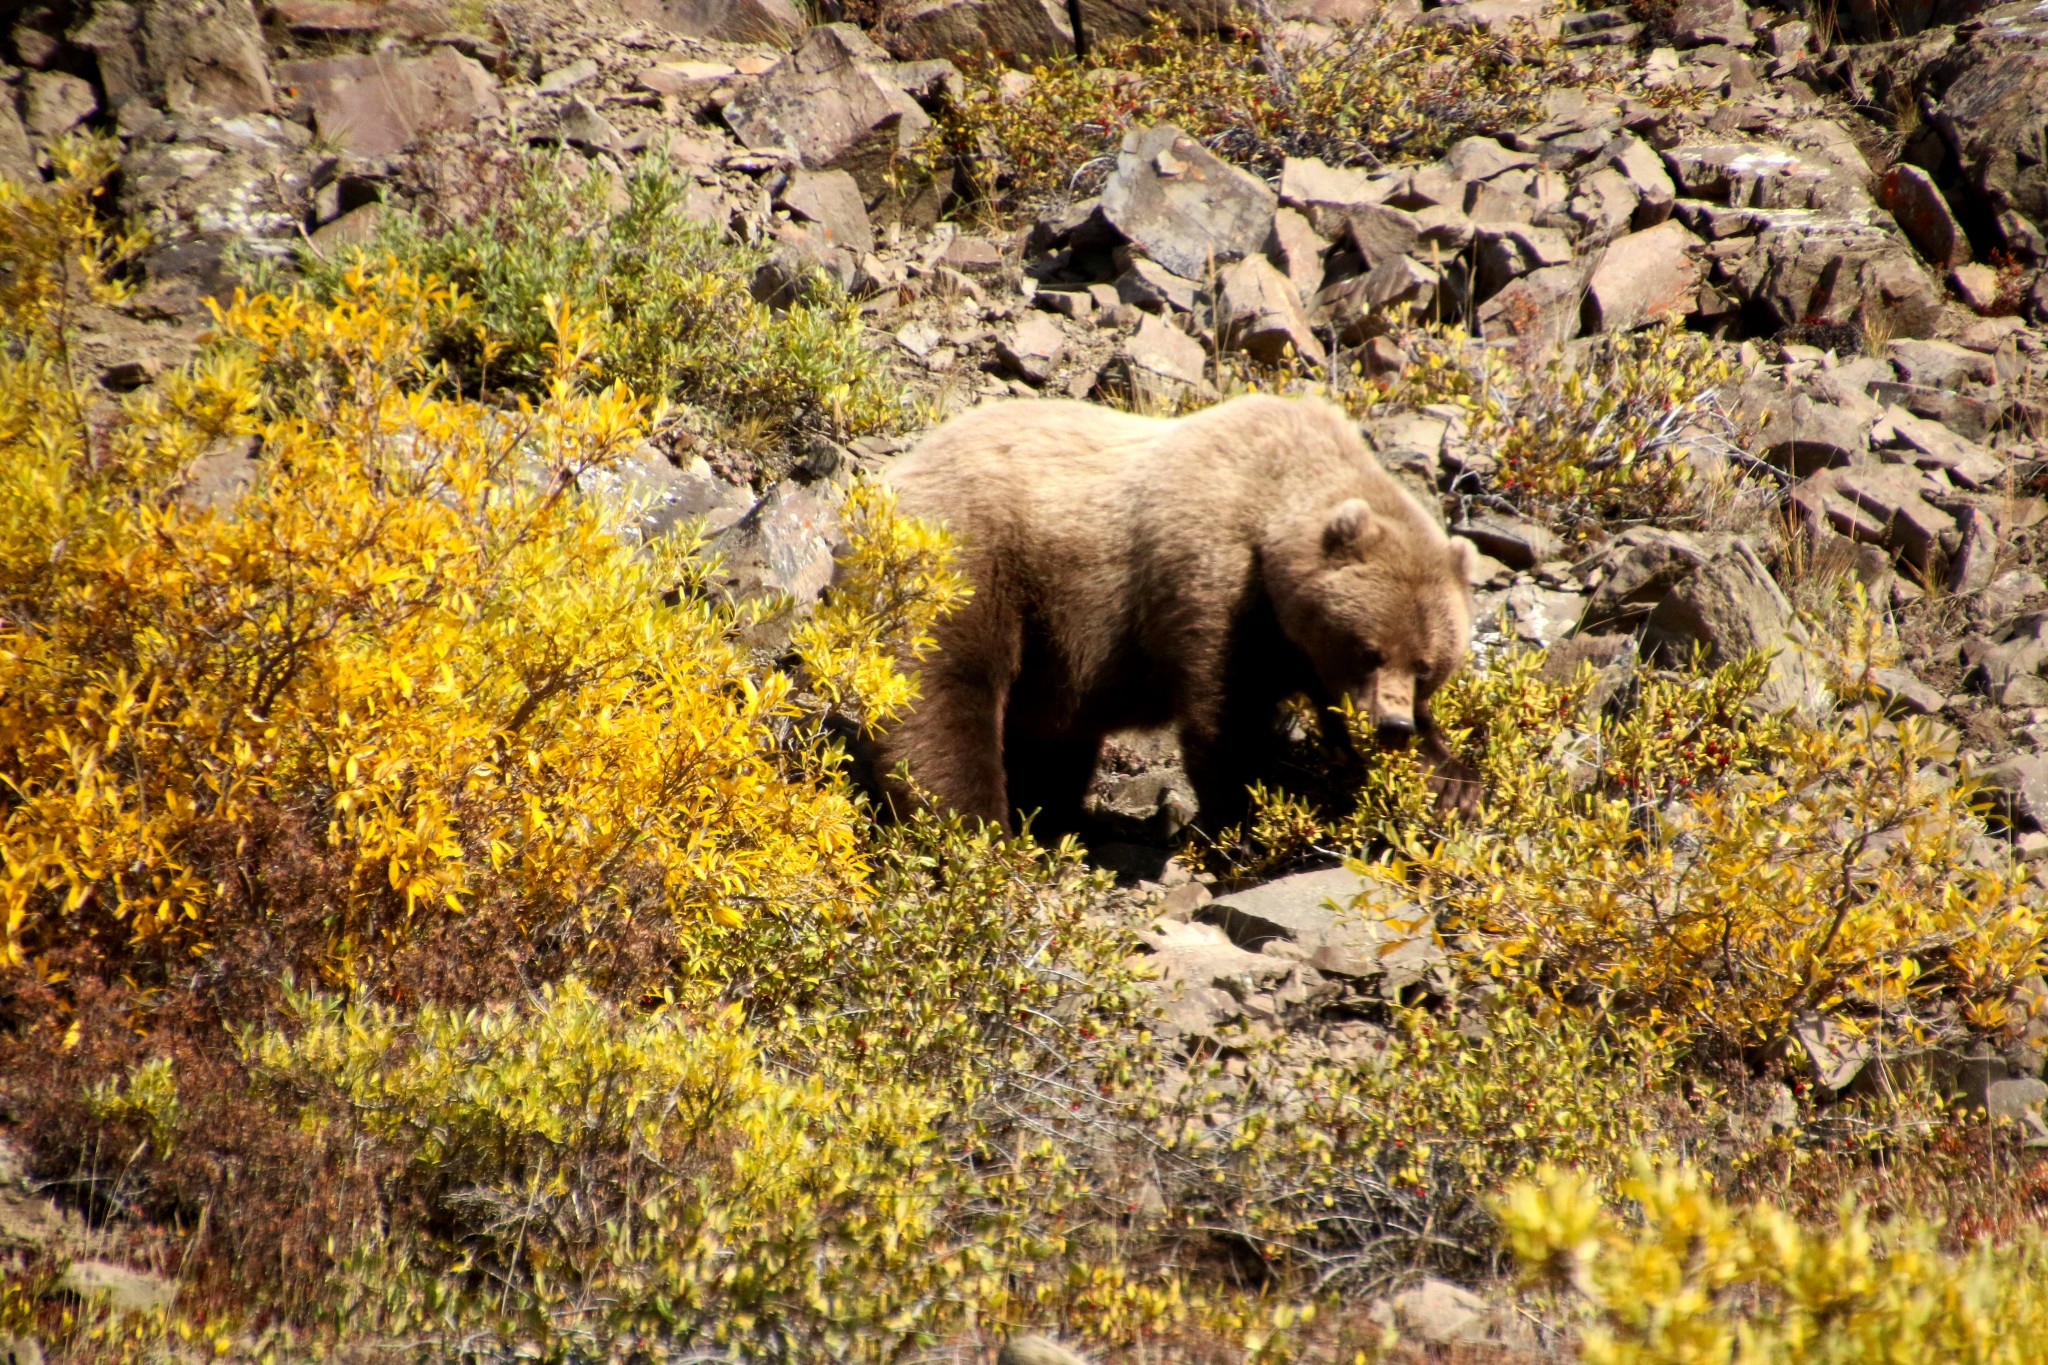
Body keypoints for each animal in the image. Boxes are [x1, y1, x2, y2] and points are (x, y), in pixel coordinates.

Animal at [872, 384, 1482, 834]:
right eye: (1369, 650)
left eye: (1426, 666)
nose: (1392, 724)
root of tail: (902, 466)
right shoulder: (1212, 582)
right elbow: (1223, 714)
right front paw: (1248, 813)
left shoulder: (1294, 640)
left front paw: (1453, 783)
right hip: (976, 558)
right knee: (950, 688)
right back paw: (973, 821)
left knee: (1048, 737)